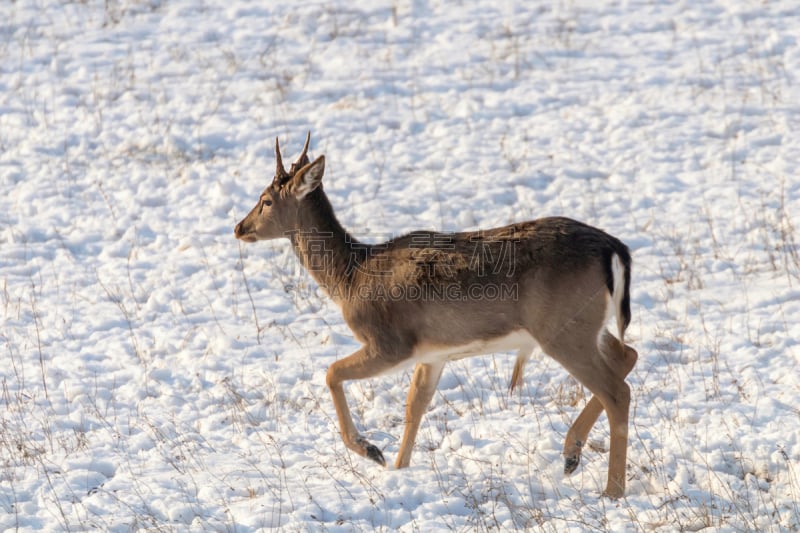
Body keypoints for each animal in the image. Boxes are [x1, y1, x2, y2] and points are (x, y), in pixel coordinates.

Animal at [233, 131, 636, 496]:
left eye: (265, 200)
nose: (239, 227)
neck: (350, 278)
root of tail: (614, 249)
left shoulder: (390, 342)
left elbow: (332, 373)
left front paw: (372, 451)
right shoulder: (433, 354)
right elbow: (415, 405)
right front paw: (399, 469)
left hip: (562, 328)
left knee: (617, 391)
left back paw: (611, 490)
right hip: (585, 324)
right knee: (627, 356)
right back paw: (571, 455)